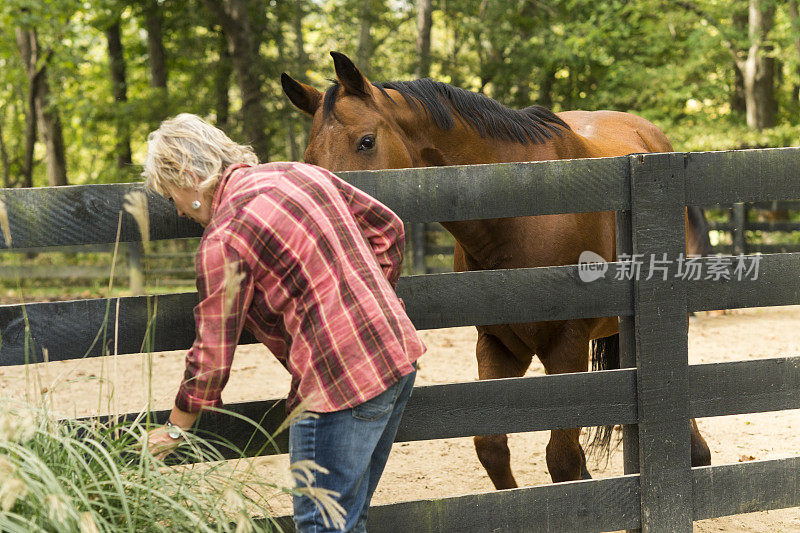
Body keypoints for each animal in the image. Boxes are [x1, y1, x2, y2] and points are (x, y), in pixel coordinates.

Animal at [282, 52, 712, 488]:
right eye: (309, 160)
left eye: (366, 142)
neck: (520, 211)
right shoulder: (498, 344)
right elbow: (491, 446)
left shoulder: (567, 345)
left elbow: (561, 461)